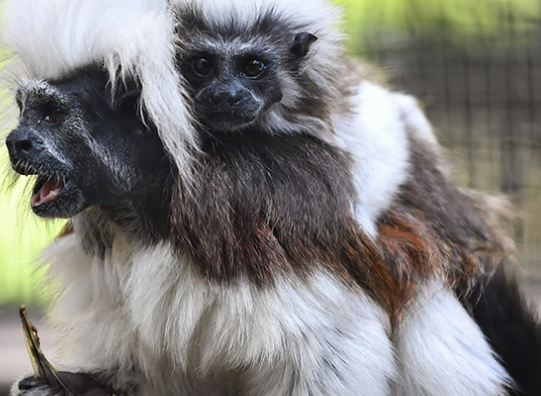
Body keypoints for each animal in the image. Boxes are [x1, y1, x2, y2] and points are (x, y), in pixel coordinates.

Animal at [2, 0, 536, 396]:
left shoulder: (254, 222)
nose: (15, 141)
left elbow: (335, 344)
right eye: (25, 110)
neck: (152, 208)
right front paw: (77, 384)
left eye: (52, 115)